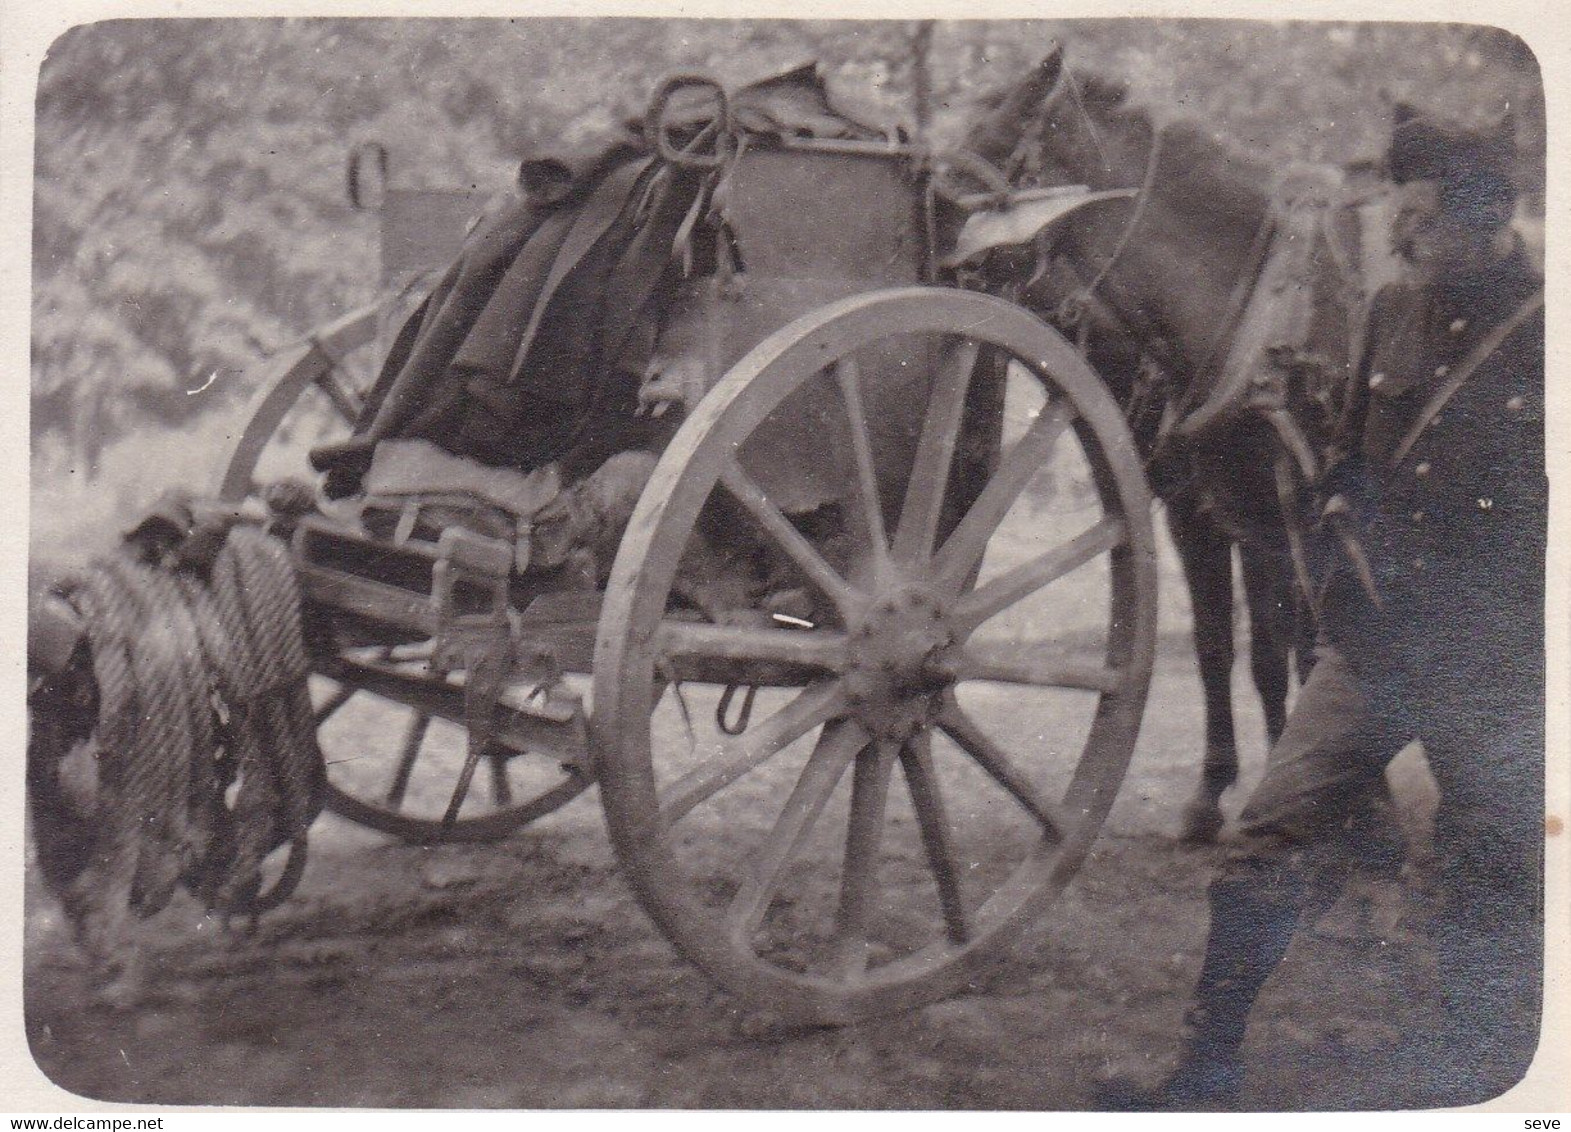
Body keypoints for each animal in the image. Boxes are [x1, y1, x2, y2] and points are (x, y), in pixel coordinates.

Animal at [961, 46, 1407, 841]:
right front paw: (1220, 790)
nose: (946, 258)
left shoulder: (1300, 511)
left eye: (998, 140)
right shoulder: (1210, 513)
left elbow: (1309, 642)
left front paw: (1332, 797)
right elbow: (1229, 646)